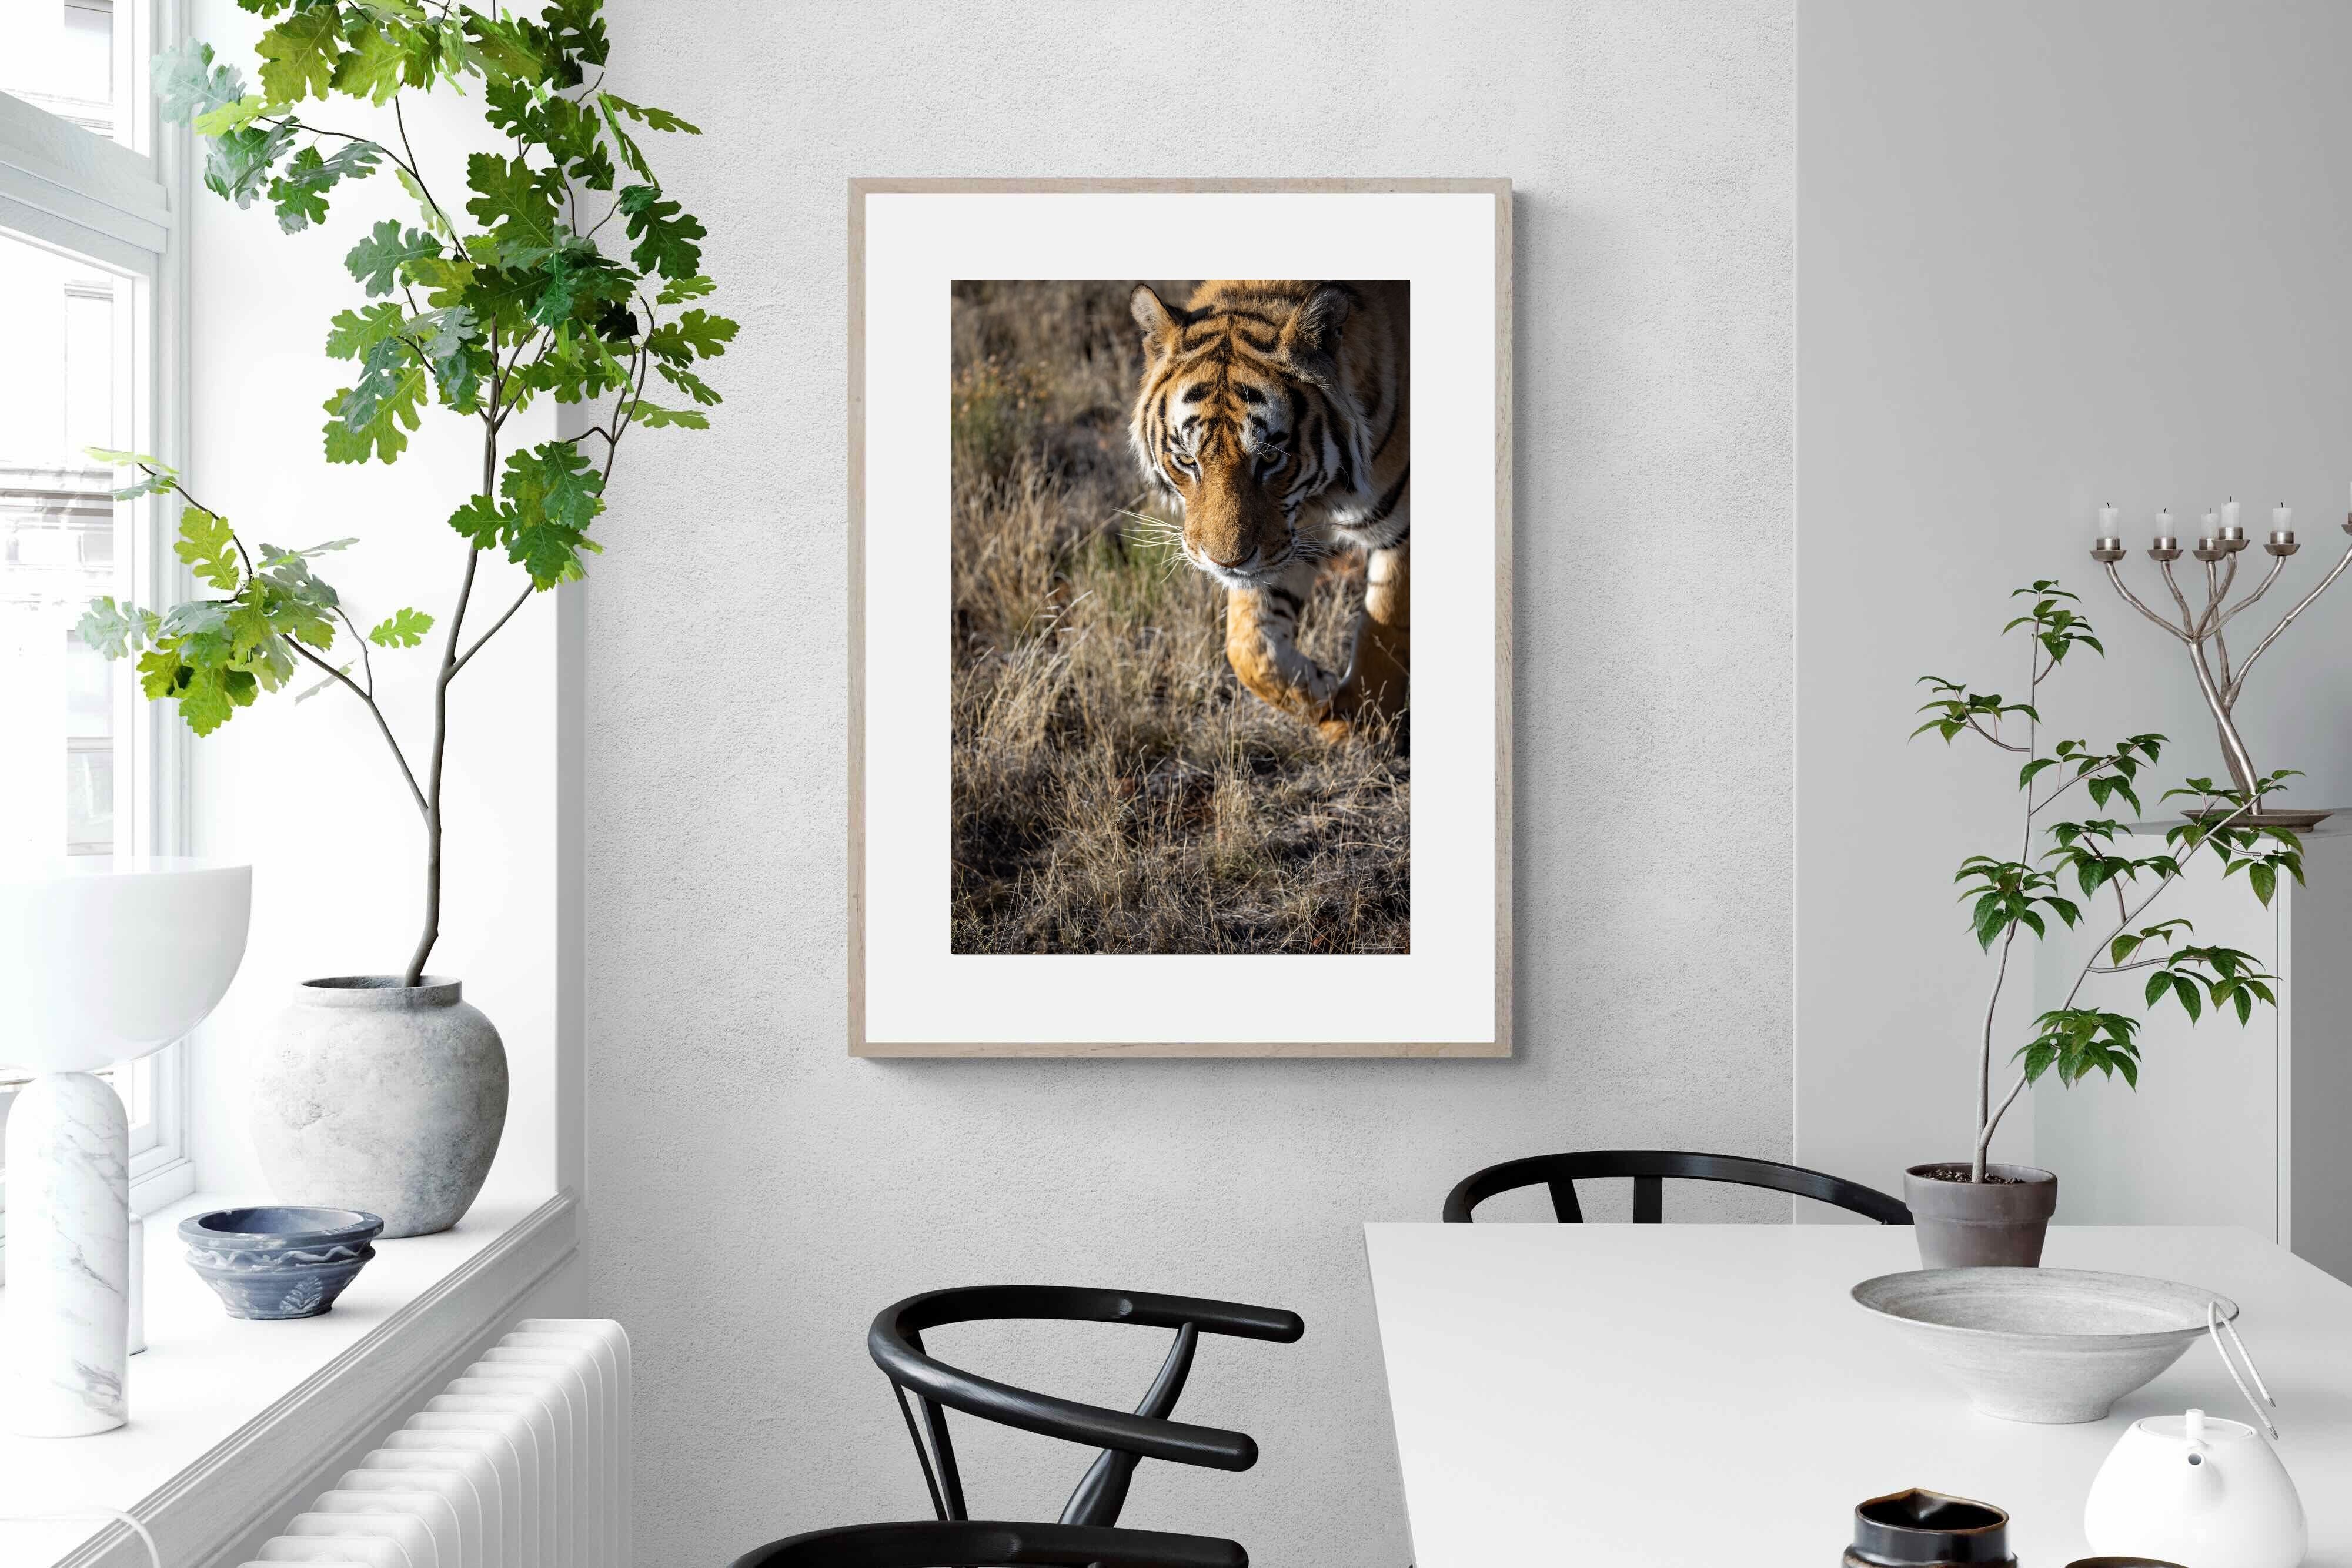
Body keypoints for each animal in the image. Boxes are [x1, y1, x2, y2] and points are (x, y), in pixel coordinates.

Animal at [1128, 280, 1408, 742]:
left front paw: (1364, 725)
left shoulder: (1400, 532)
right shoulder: (1286, 542)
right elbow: (1248, 647)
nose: (1225, 562)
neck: (1321, 497)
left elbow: (1383, 630)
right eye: (1187, 460)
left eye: (1271, 457)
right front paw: (1321, 692)